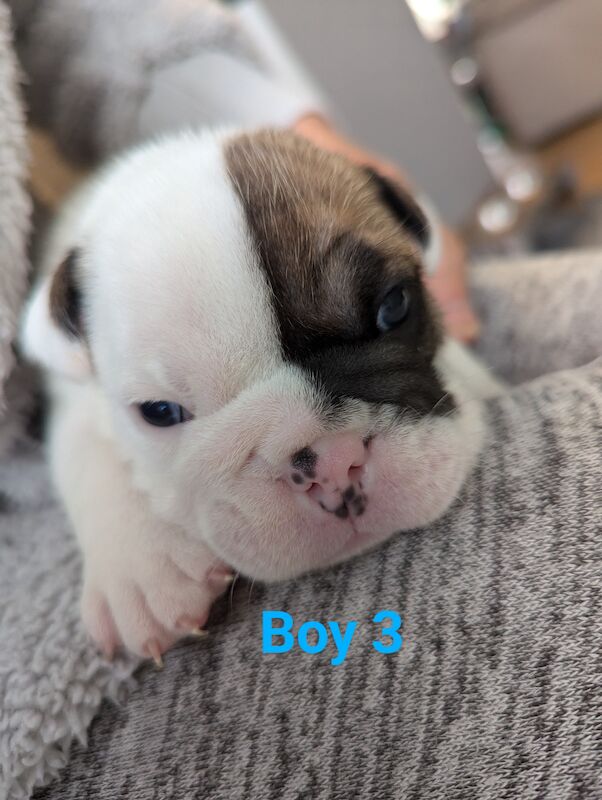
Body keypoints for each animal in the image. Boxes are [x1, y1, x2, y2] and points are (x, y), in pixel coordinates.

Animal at [21, 131, 500, 664]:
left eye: (393, 306)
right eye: (159, 412)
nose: (334, 462)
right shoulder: (72, 399)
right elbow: (83, 448)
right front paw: (140, 567)